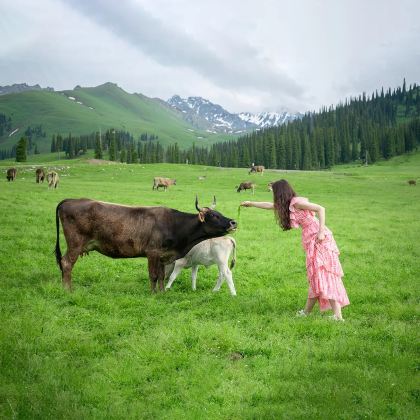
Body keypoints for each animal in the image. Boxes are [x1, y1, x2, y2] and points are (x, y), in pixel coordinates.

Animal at [53, 198, 236, 292]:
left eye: (220, 213)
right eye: (214, 215)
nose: (233, 222)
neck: (174, 224)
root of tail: (70, 200)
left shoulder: (163, 255)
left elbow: (162, 276)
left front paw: (161, 292)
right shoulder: (152, 252)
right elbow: (153, 275)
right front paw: (153, 294)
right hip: (75, 243)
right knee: (66, 263)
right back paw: (68, 289)